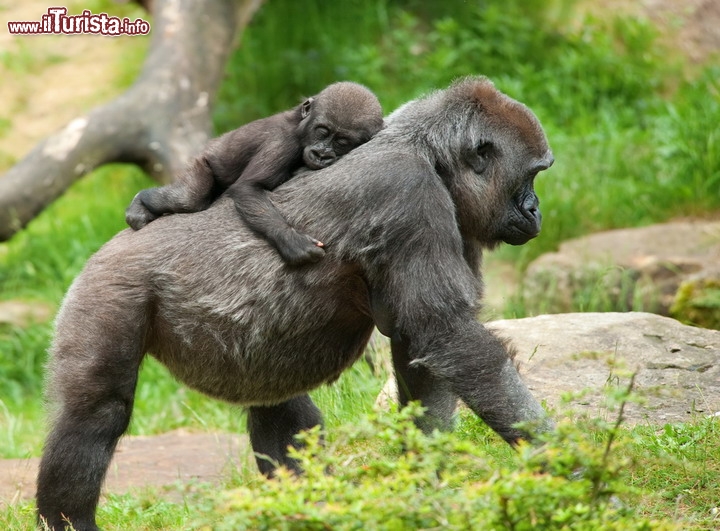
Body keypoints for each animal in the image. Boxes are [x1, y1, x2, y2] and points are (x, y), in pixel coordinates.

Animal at [125, 82, 382, 264]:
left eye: (341, 142)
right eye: (322, 131)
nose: (321, 154)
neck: (301, 127)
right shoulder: (282, 142)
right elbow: (248, 187)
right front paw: (291, 240)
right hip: (202, 161)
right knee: (187, 198)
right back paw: (141, 202)